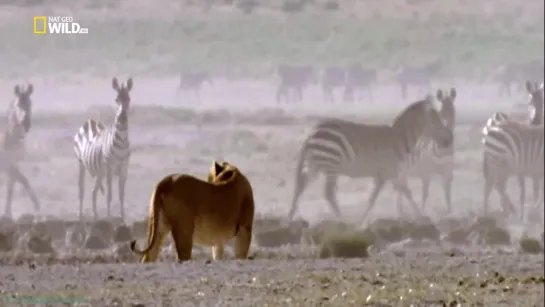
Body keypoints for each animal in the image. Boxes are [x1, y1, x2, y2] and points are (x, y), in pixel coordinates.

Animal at [1, 84, 40, 218]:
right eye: (18, 104)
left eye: (30, 103)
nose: (26, 124)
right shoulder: (5, 163)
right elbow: (23, 179)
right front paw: (36, 205)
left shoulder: (14, 161)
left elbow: (11, 187)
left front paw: (8, 213)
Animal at [73, 77, 133, 221]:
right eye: (116, 99)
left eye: (128, 99)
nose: (122, 118)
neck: (122, 141)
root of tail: (90, 121)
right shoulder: (110, 168)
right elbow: (110, 195)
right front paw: (110, 217)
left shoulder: (124, 168)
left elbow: (121, 195)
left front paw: (122, 217)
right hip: (81, 163)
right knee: (81, 191)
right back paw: (81, 216)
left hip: (99, 171)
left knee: (93, 192)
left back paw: (96, 217)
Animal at [286, 95, 452, 225]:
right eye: (435, 121)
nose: (448, 141)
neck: (399, 138)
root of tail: (312, 132)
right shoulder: (386, 173)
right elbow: (376, 199)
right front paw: (360, 221)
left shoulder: (390, 174)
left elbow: (403, 193)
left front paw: (421, 216)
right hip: (331, 163)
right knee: (329, 193)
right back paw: (342, 219)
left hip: (316, 164)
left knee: (301, 186)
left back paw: (290, 216)